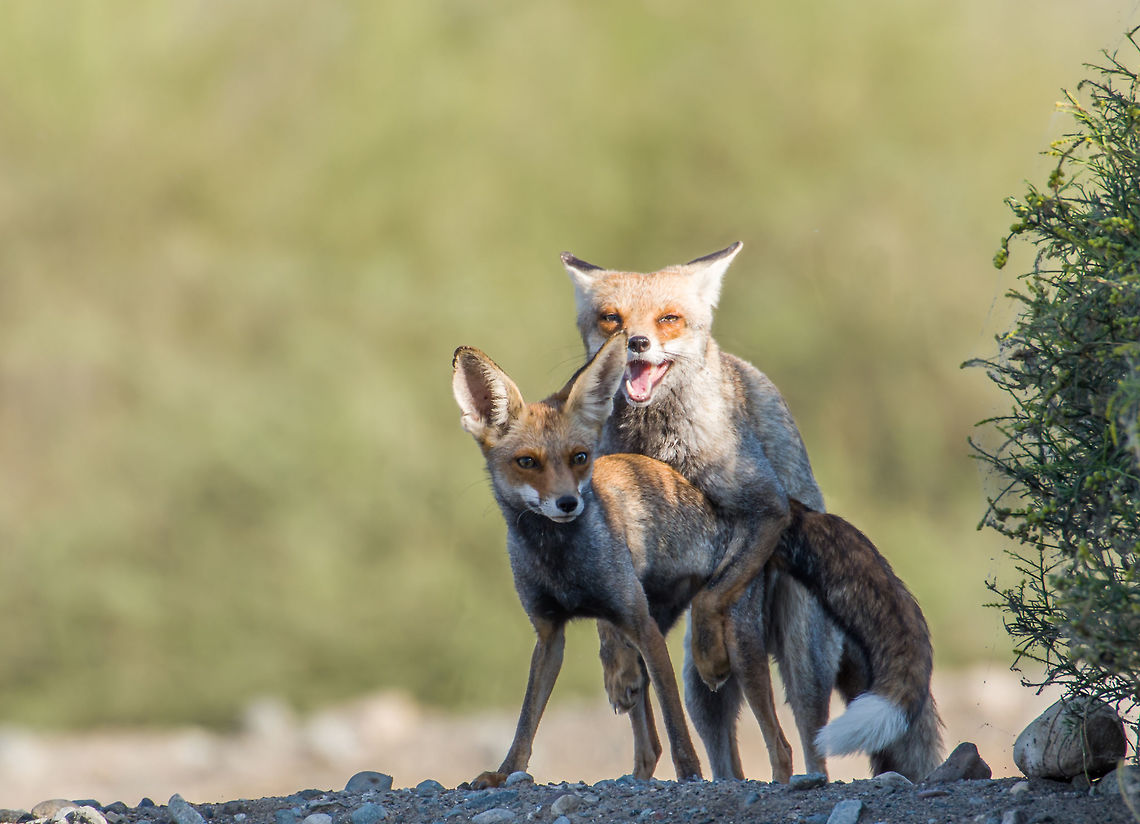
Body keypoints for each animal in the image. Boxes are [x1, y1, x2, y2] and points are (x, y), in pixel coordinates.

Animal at [452, 334, 941, 786]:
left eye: (579, 458)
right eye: (527, 462)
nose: (569, 503)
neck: (562, 564)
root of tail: (790, 503)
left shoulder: (642, 627)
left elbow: (676, 728)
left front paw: (689, 774)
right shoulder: (550, 634)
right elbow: (527, 720)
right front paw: (504, 773)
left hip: (742, 644)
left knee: (781, 744)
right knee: (648, 742)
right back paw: (640, 770)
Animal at [561, 242, 942, 781]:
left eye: (668, 319)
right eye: (611, 319)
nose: (635, 343)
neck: (655, 440)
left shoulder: (764, 507)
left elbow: (709, 601)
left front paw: (707, 652)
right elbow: (610, 626)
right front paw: (617, 671)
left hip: (791, 659)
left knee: (801, 743)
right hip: (699, 694)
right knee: (727, 757)